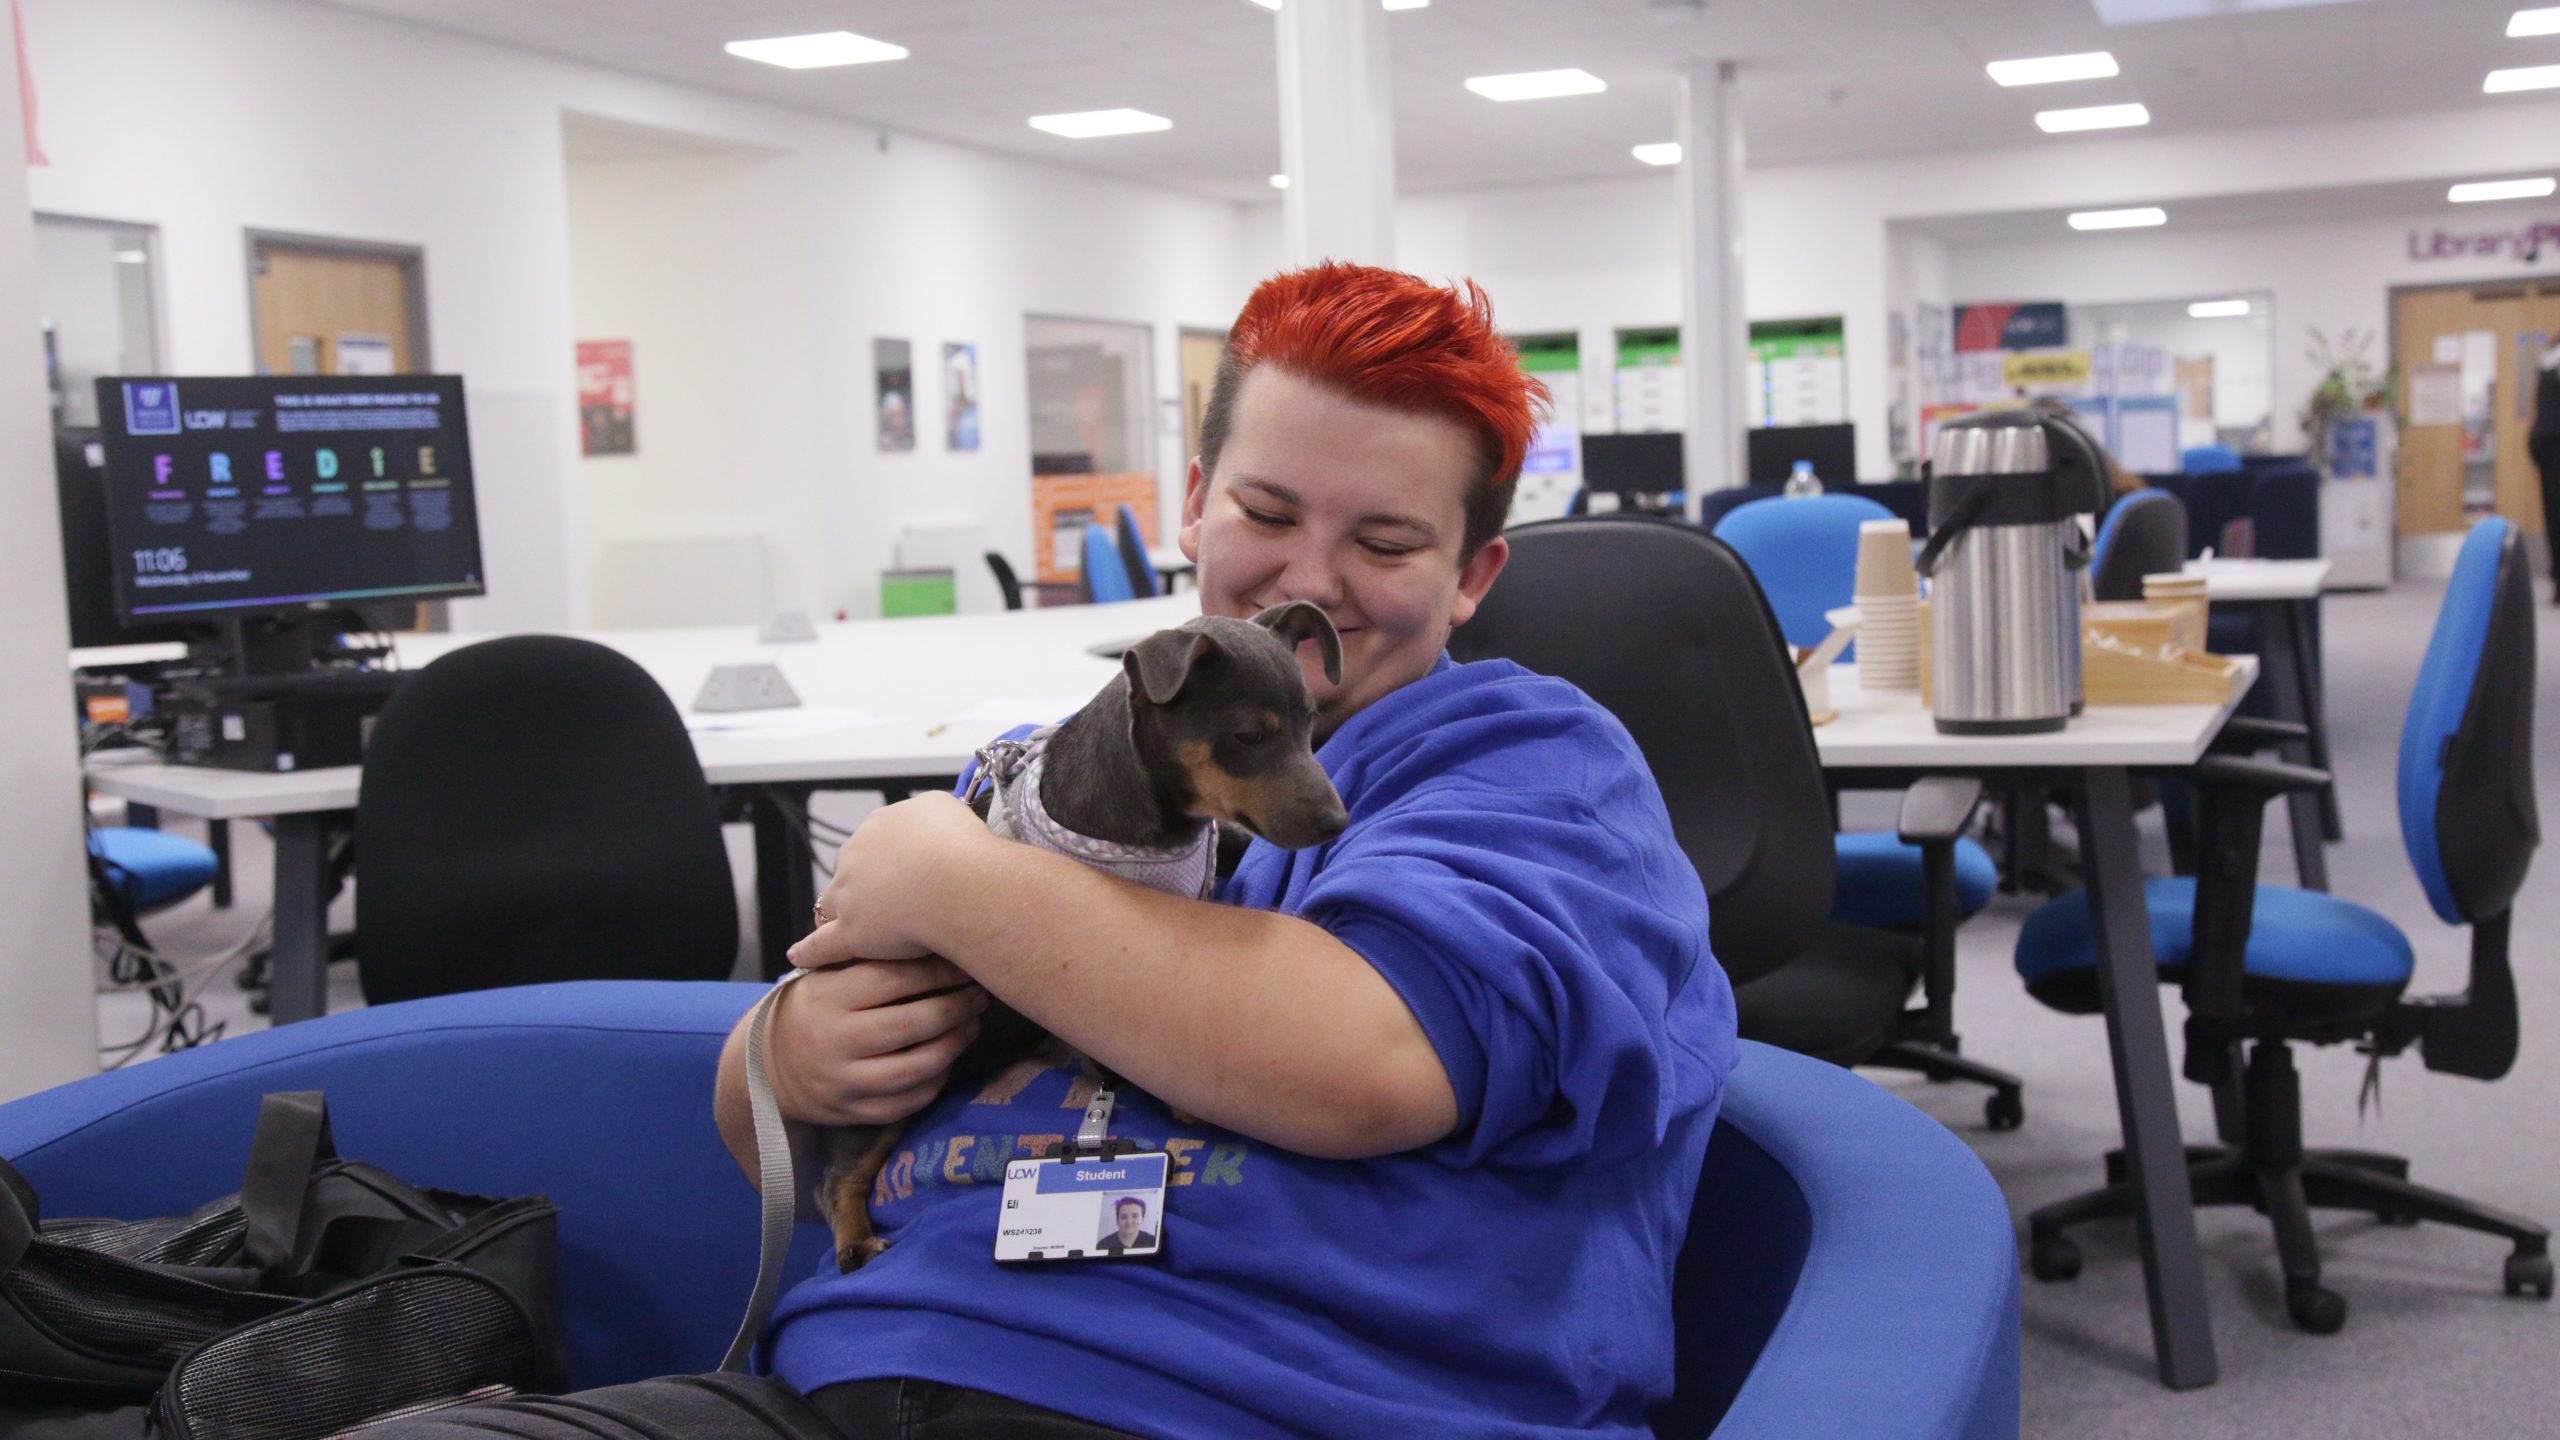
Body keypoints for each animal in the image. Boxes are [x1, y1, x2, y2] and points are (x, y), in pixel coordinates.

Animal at [819, 599, 1351, 1260]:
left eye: (1311, 723)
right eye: (1248, 736)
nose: (1337, 821)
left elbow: (1235, 845)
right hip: (898, 1075)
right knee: (838, 1173)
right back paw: (855, 1242)